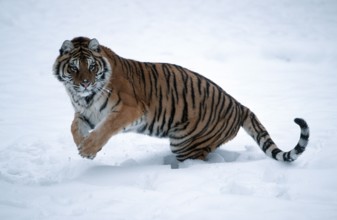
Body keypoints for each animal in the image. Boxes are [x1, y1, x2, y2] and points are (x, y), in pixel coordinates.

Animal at [53, 37, 310, 162]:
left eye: (92, 67)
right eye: (74, 67)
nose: (85, 83)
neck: (83, 97)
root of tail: (240, 105)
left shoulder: (129, 109)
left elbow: (106, 129)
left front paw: (88, 149)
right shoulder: (86, 114)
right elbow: (73, 128)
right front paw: (84, 147)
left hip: (186, 142)